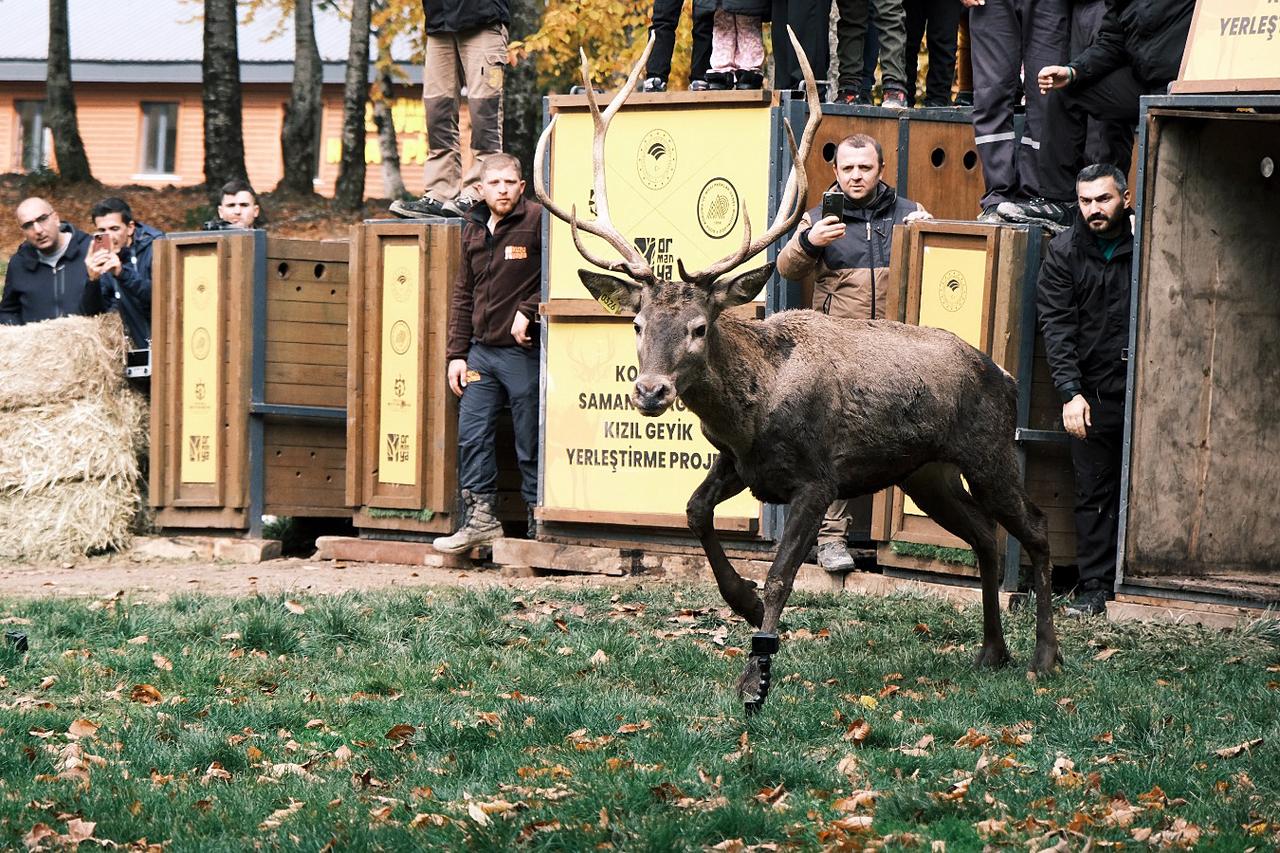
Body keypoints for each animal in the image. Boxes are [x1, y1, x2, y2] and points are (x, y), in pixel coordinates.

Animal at [535, 31, 1060, 714]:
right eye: (638, 325)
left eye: (699, 327)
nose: (650, 391)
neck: (754, 412)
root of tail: (1005, 377)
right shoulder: (743, 465)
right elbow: (695, 511)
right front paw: (740, 601)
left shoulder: (819, 478)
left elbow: (783, 573)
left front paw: (755, 677)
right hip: (928, 473)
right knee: (986, 537)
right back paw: (992, 652)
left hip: (989, 452)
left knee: (1036, 529)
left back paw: (1045, 658)